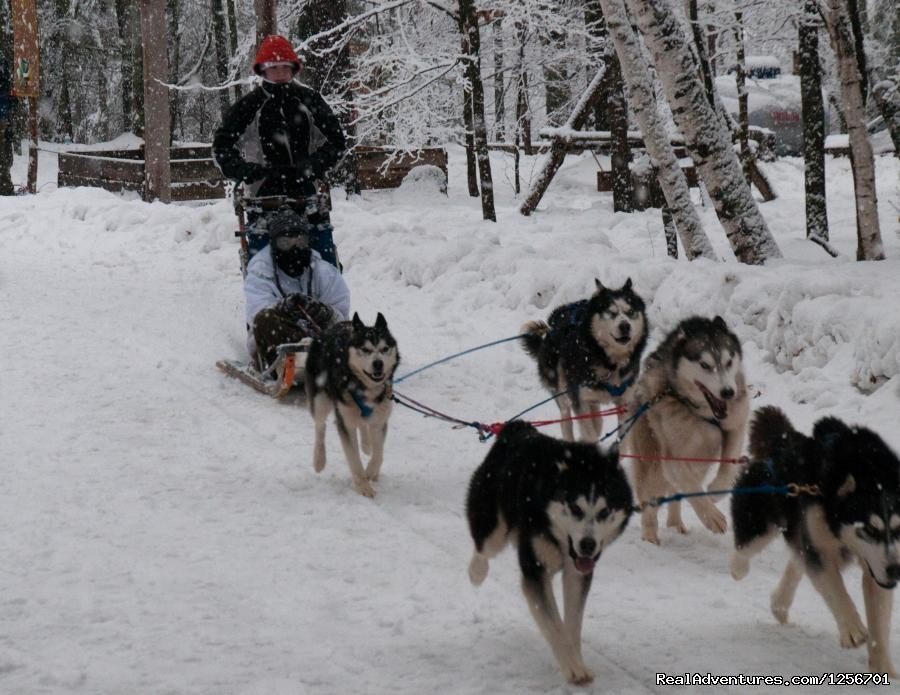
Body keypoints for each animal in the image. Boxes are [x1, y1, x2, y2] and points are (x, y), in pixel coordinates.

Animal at [306, 312, 398, 498]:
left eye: (385, 349)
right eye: (365, 349)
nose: (378, 363)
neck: (365, 388)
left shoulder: (380, 421)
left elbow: (379, 454)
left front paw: (371, 472)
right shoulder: (346, 423)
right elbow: (354, 459)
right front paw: (364, 487)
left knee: (363, 425)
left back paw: (366, 444)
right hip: (321, 400)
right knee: (320, 426)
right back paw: (319, 459)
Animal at [464, 422, 632, 688]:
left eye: (605, 512)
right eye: (575, 508)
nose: (587, 545)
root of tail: (517, 427)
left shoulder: (577, 573)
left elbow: (572, 625)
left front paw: (577, 661)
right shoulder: (535, 570)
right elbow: (554, 625)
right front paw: (572, 668)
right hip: (492, 527)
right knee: (483, 548)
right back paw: (476, 572)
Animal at [520, 276, 648, 440]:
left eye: (630, 312)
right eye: (610, 313)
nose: (625, 326)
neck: (608, 361)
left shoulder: (624, 401)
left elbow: (621, 437)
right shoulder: (579, 400)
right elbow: (589, 433)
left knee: (597, 419)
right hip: (561, 387)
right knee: (567, 419)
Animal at [624, 316, 744, 544]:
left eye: (728, 362)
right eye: (705, 365)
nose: (727, 392)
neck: (702, 413)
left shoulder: (734, 428)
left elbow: (728, 467)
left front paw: (716, 491)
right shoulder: (672, 457)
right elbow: (690, 485)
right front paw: (711, 516)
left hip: (699, 461)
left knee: (675, 492)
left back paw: (675, 524)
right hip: (651, 461)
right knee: (650, 499)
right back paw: (650, 535)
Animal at [732, 408, 900, 676]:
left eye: (897, 529)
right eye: (869, 528)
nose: (896, 570)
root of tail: (783, 439)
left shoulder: (877, 569)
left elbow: (879, 621)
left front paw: (884, 667)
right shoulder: (820, 551)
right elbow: (835, 589)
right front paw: (851, 628)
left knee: (797, 559)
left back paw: (779, 604)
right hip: (760, 525)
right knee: (744, 548)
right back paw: (739, 568)